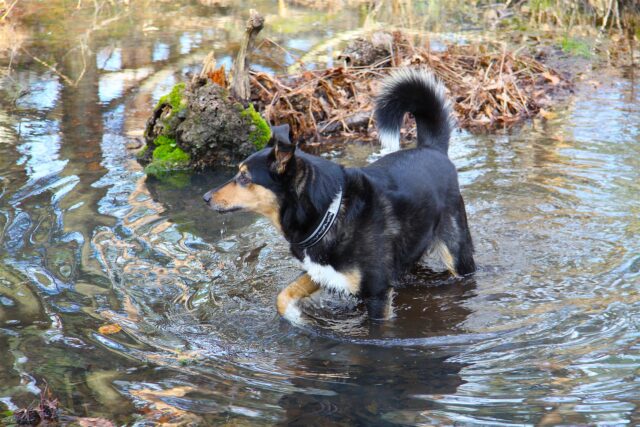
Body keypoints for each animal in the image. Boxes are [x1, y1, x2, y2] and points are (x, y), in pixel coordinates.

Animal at [204, 68, 476, 324]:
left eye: (244, 178)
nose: (206, 197)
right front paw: (298, 318)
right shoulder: (321, 272)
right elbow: (282, 296)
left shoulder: (377, 292)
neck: (329, 213)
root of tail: (433, 149)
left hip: (457, 253)